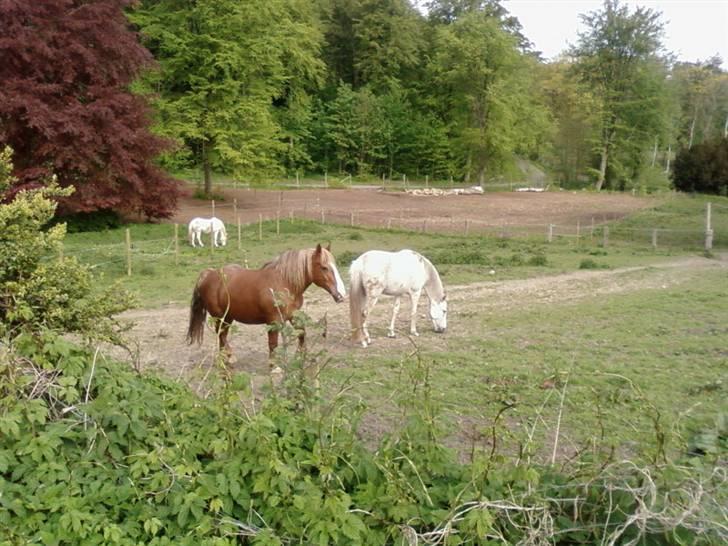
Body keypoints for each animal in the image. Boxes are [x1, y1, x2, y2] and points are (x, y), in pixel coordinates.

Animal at [188, 243, 346, 356]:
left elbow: (301, 333)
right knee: (221, 336)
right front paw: (275, 367)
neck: (284, 283)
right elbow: (273, 344)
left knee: (222, 338)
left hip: (228, 317)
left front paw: (301, 356)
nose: (341, 295)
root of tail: (207, 275)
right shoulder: (273, 321)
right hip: (220, 318)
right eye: (324, 267)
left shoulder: (292, 315)